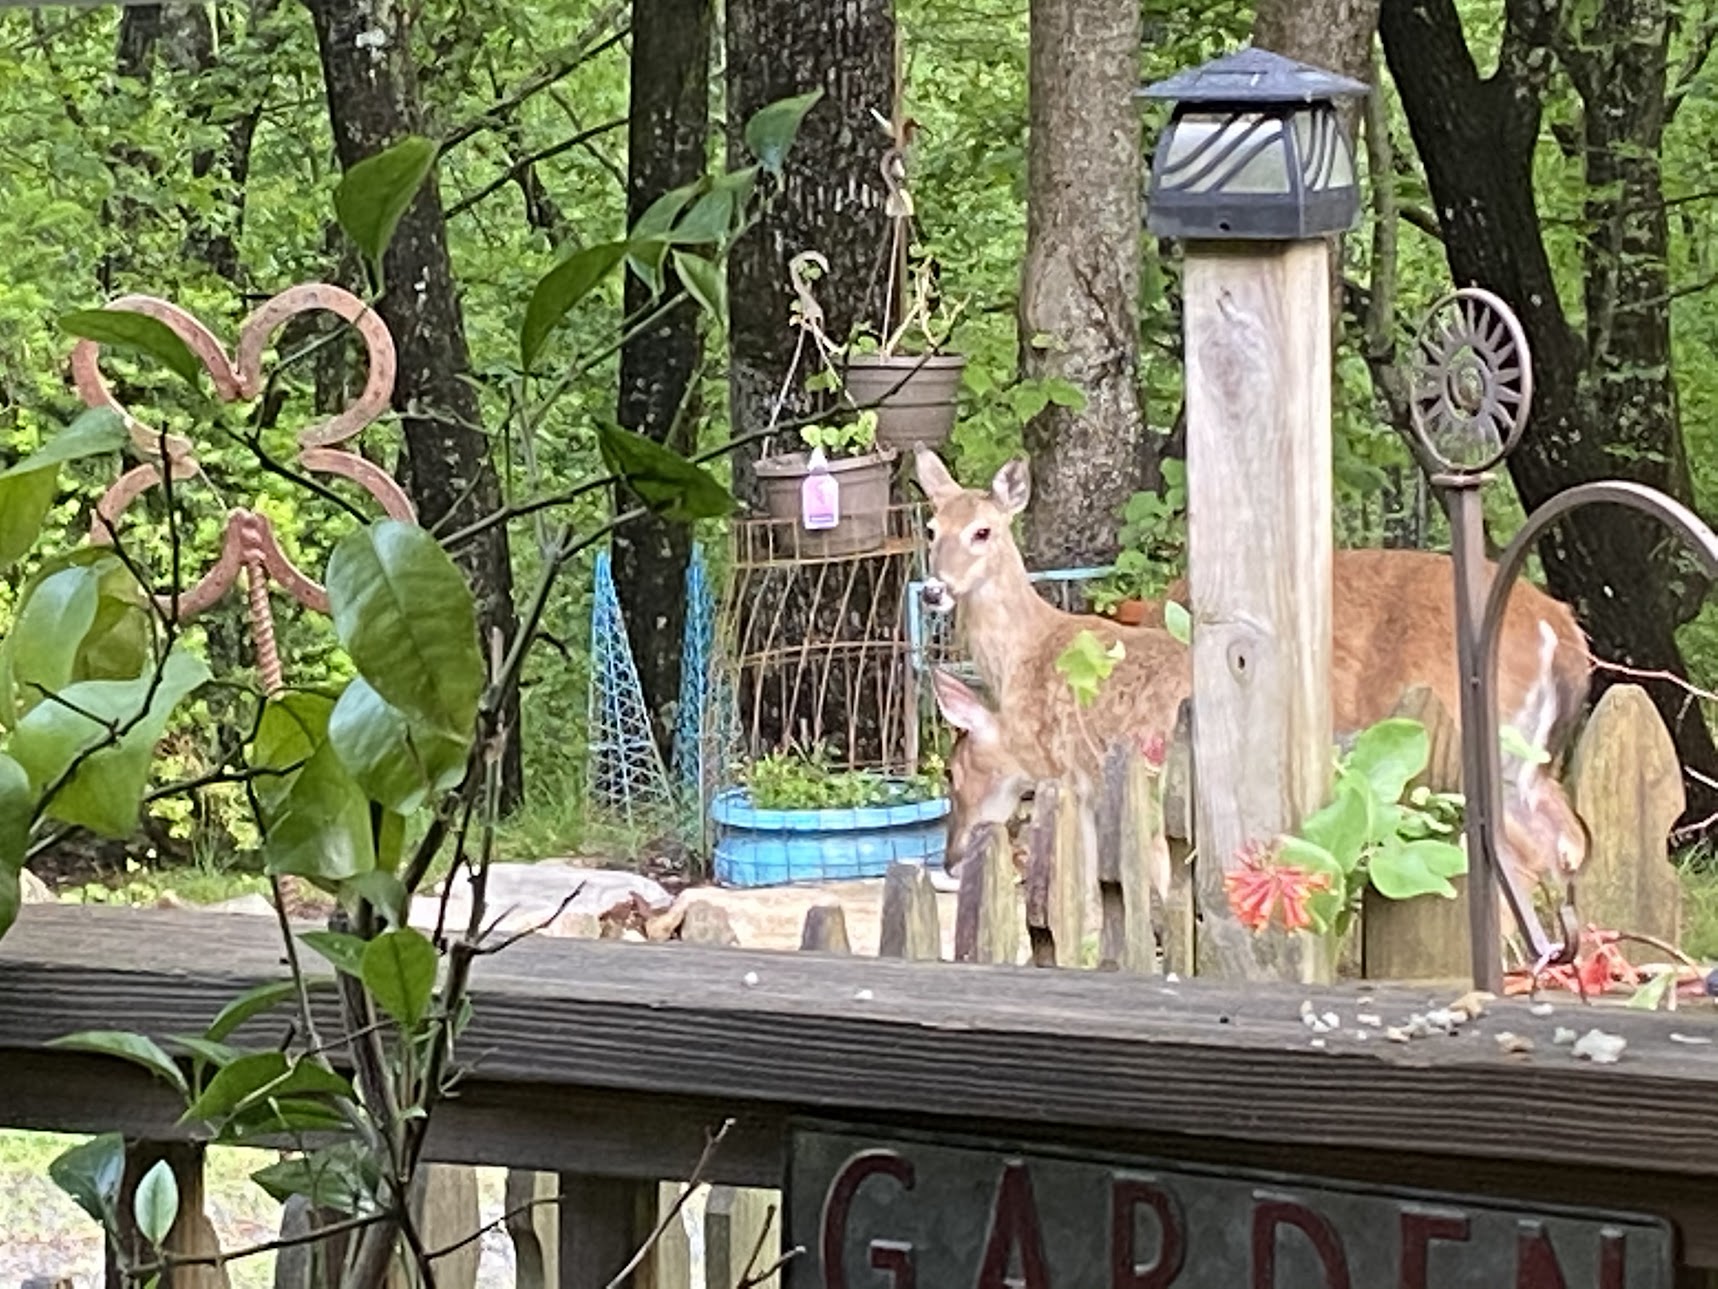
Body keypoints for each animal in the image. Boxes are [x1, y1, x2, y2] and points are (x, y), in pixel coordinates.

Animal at [913, 446, 1592, 946]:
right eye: (931, 527)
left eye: (983, 531)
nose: (935, 591)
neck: (1028, 655)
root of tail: (1561, 630)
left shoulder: (1094, 779)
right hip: (1525, 762)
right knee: (1565, 843)